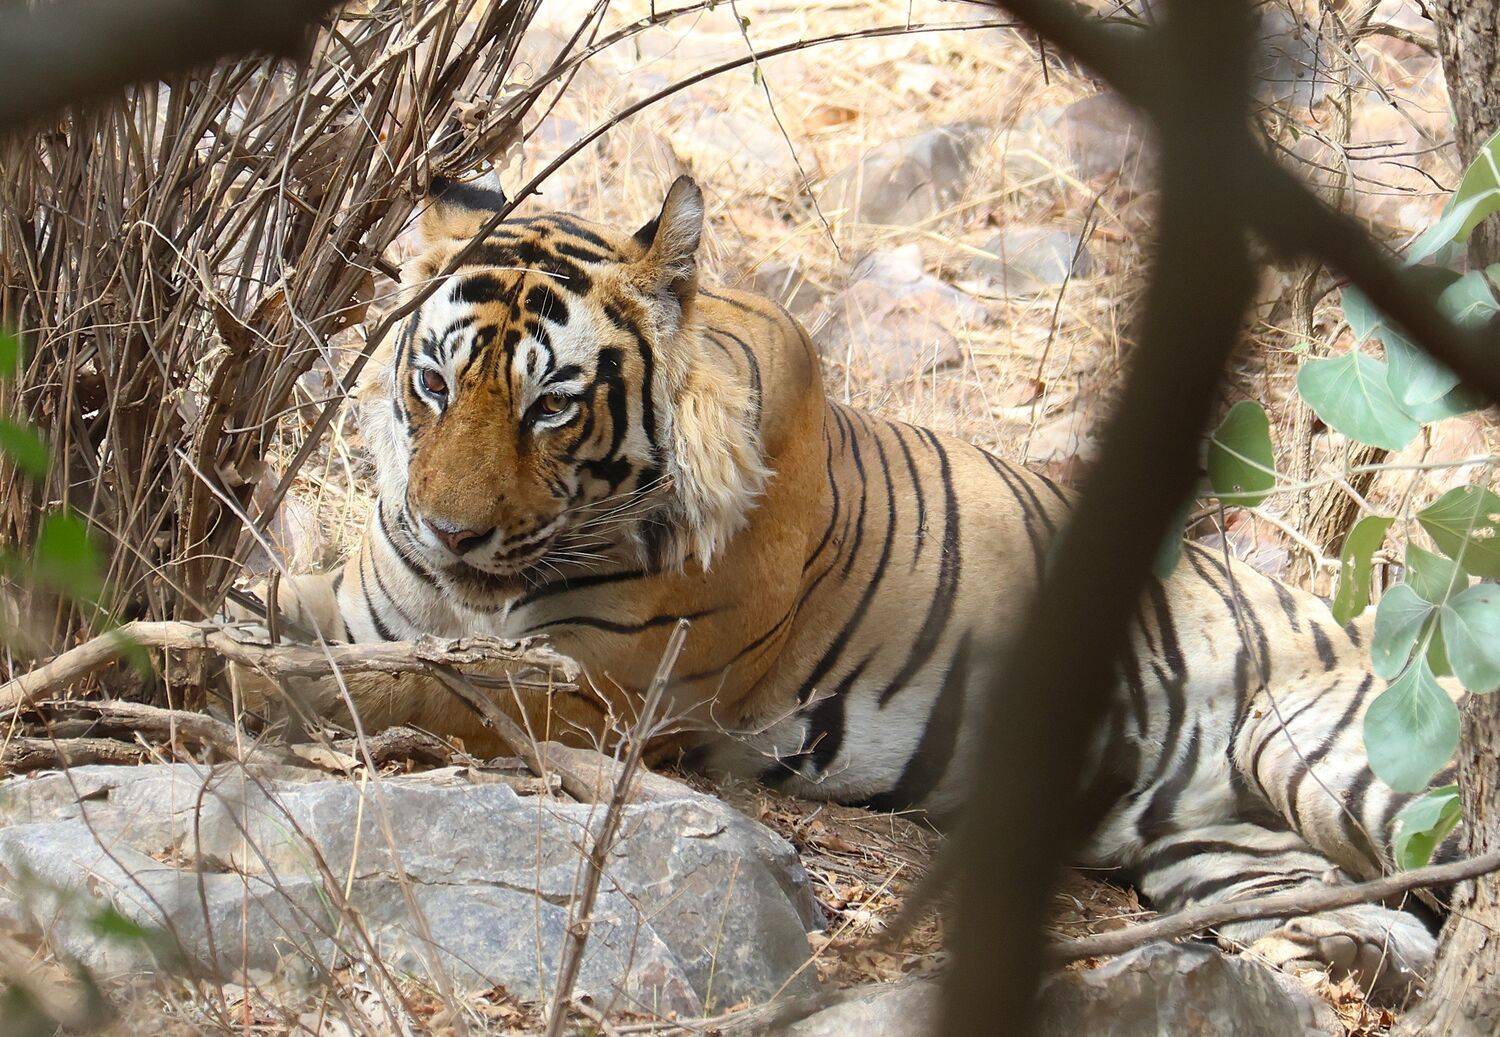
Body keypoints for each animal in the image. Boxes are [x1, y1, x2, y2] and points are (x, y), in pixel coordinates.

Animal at [237, 174, 1455, 998]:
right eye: (435, 383)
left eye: (550, 405)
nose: (452, 530)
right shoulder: (373, 600)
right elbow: (274, 612)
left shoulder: (591, 684)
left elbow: (407, 682)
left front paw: (248, 688)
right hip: (1213, 842)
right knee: (1373, 914)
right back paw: (1343, 949)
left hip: (1330, 749)